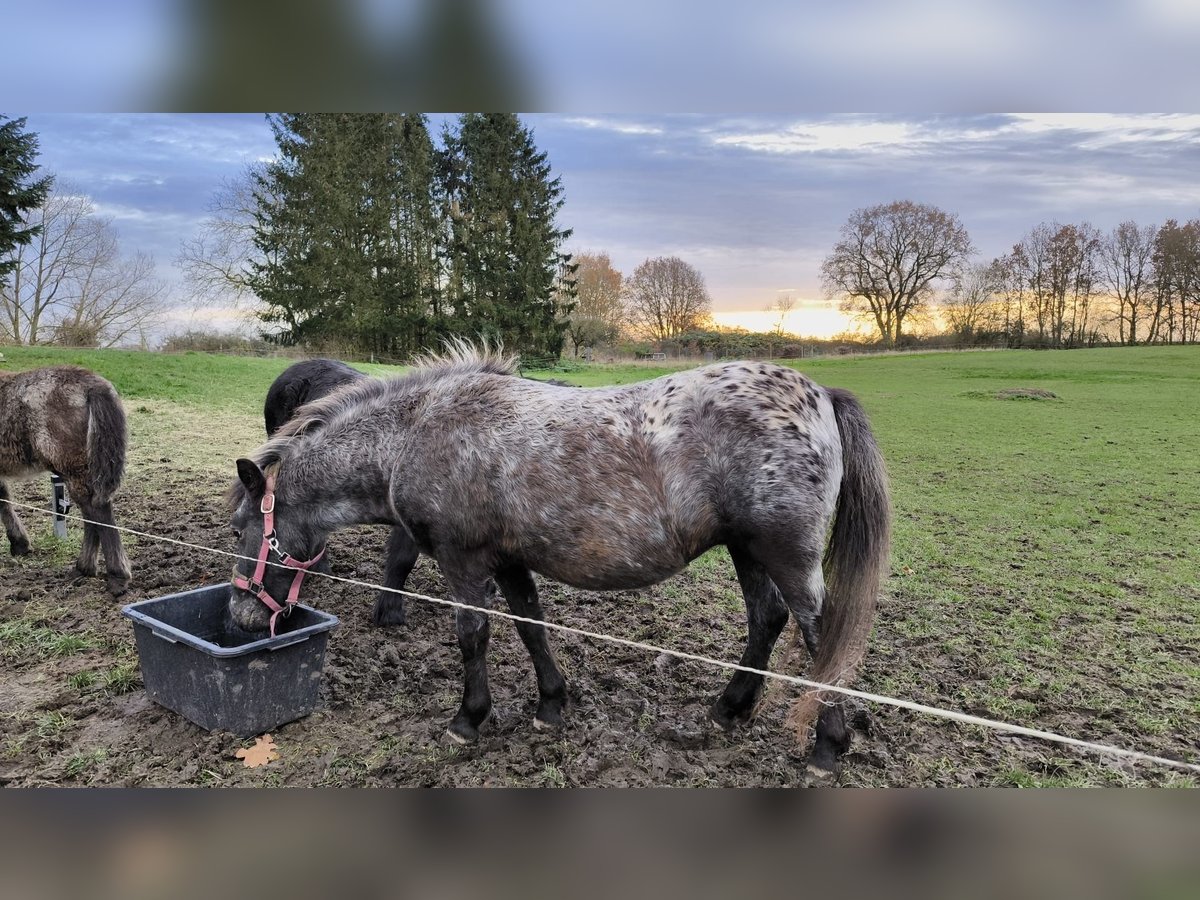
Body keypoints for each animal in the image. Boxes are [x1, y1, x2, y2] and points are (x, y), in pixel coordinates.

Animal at [0, 362, 132, 595]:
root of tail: (93, 385)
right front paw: (20, 544)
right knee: (92, 513)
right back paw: (85, 569)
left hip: (72, 469)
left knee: (97, 511)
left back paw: (113, 575)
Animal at [225, 345, 888, 777]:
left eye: (238, 529)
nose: (241, 617)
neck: (416, 434)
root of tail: (821, 396)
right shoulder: (509, 561)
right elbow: (530, 626)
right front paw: (550, 706)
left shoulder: (464, 563)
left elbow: (473, 634)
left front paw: (469, 719)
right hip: (746, 549)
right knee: (765, 620)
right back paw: (729, 710)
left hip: (785, 554)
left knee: (822, 639)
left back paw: (826, 748)